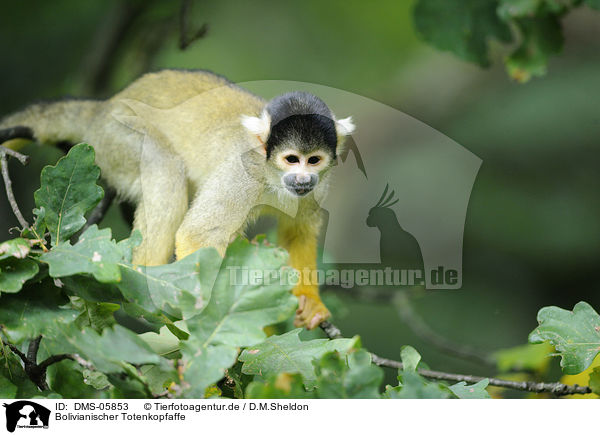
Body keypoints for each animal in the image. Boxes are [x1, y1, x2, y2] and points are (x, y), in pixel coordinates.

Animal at [0, 70, 354, 330]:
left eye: (313, 161)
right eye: (291, 159)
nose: (302, 179)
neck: (272, 175)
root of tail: (102, 109)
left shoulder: (320, 185)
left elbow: (297, 232)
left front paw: (310, 303)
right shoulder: (243, 172)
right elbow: (198, 233)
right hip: (117, 137)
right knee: (165, 170)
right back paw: (150, 286)